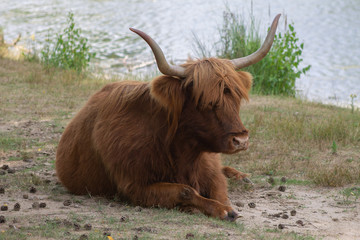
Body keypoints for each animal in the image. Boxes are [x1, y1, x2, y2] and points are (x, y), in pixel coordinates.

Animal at [56, 14, 282, 221]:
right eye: (205, 102)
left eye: (236, 98)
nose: (241, 140)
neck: (183, 152)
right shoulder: (134, 186)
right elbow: (186, 190)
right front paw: (219, 210)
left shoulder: (210, 170)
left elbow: (219, 188)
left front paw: (227, 205)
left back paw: (242, 178)